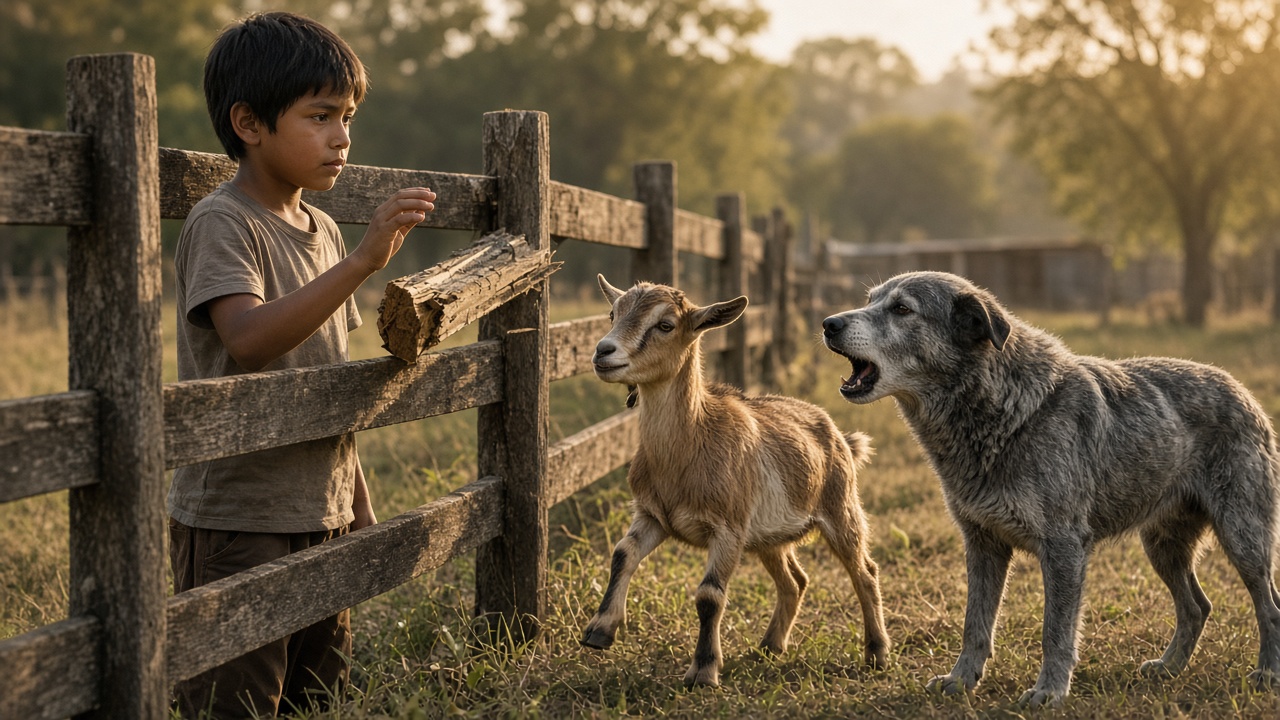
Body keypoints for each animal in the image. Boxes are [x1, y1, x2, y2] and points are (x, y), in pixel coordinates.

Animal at [580, 274, 889, 687]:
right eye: (613, 313)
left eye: (666, 325)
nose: (603, 352)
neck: (691, 443)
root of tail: (839, 435)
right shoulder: (652, 515)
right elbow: (622, 553)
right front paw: (599, 630)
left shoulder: (727, 528)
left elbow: (709, 595)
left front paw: (703, 670)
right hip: (767, 536)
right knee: (795, 581)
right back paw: (770, 646)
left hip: (841, 510)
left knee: (864, 572)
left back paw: (877, 653)